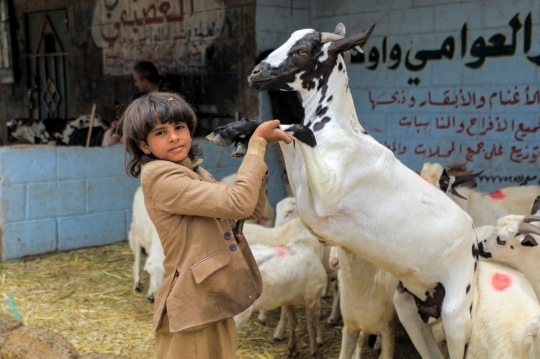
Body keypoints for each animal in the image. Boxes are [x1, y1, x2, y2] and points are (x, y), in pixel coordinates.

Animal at [234, 229, 326, 358]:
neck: (308, 245)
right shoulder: (312, 294)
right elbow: (311, 327)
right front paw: (316, 353)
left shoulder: (287, 299)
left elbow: (293, 322)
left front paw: (292, 349)